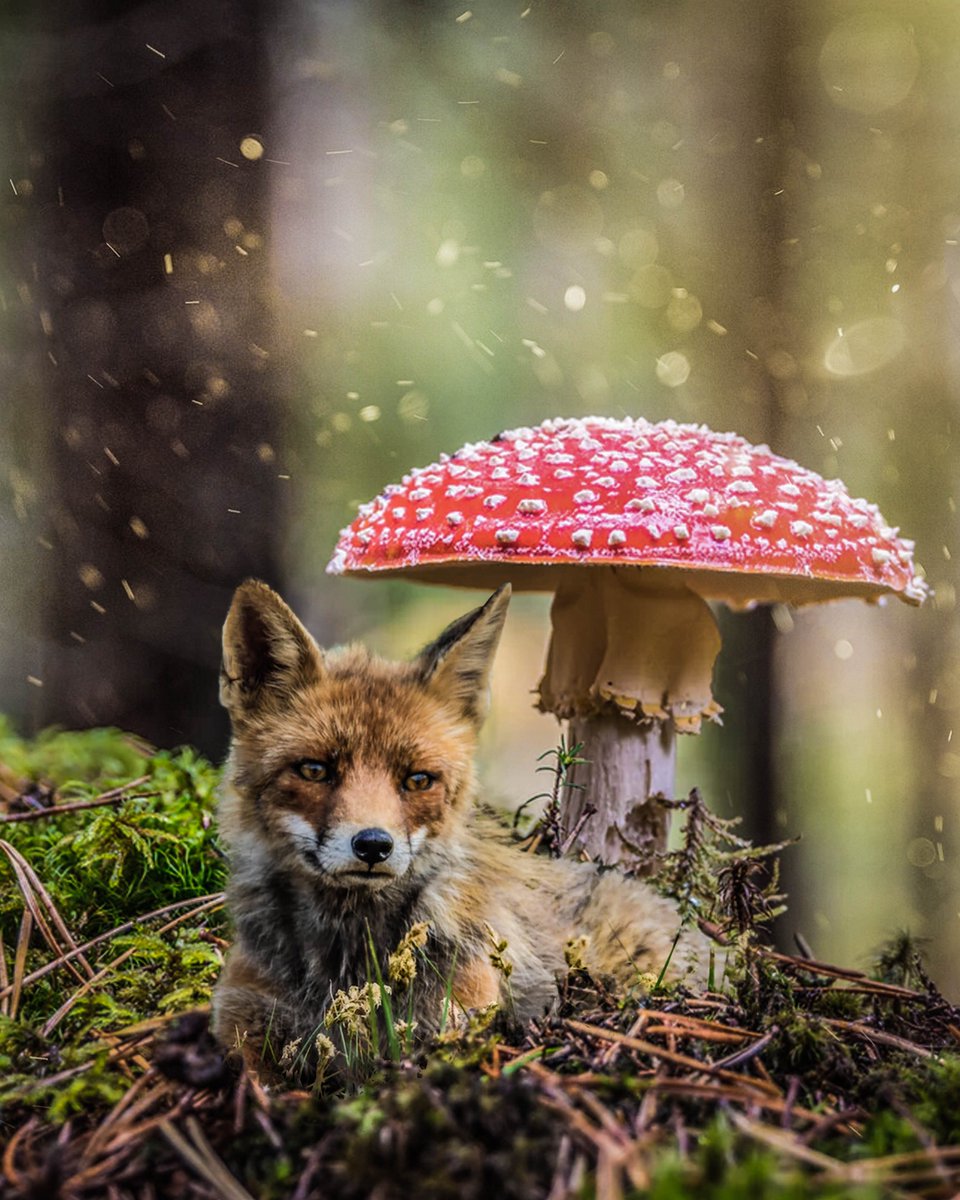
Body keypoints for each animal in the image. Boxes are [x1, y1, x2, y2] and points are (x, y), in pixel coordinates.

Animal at [212, 580, 712, 1079]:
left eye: (418, 780)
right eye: (314, 770)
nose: (373, 845)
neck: (345, 963)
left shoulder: (459, 1020)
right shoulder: (243, 1017)